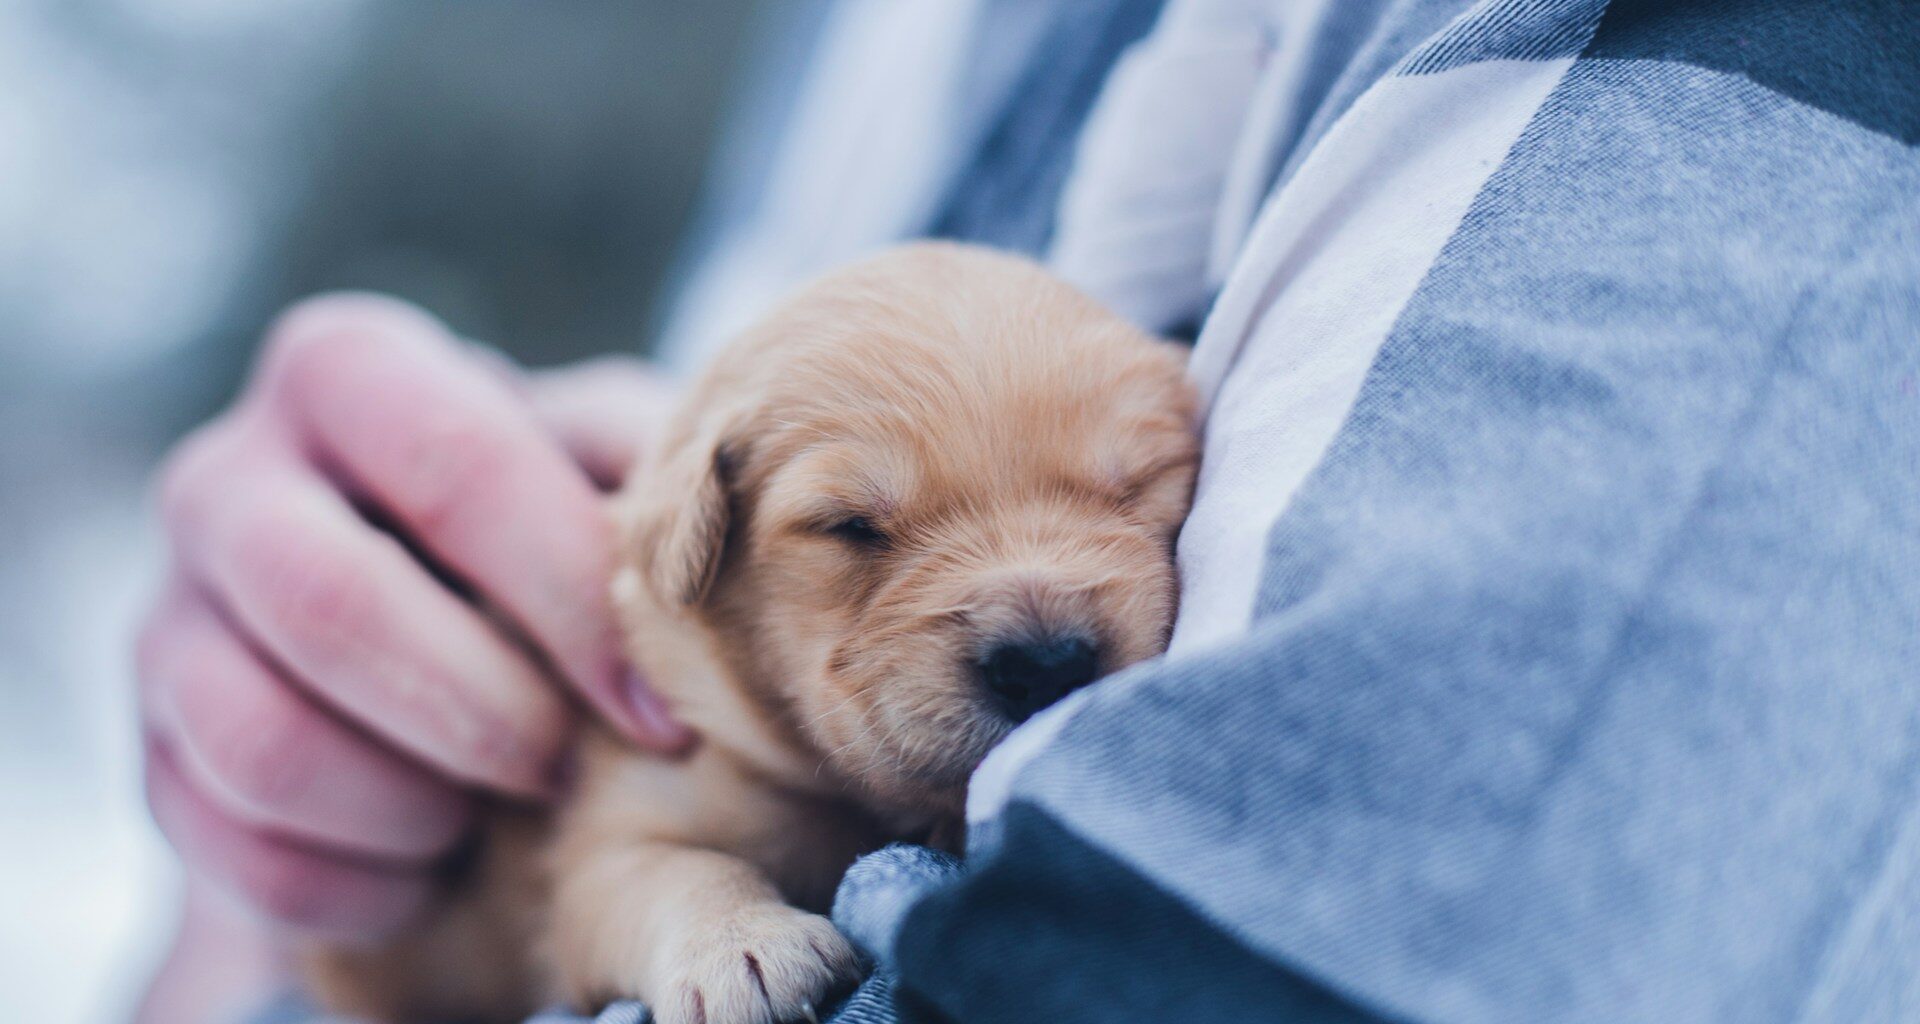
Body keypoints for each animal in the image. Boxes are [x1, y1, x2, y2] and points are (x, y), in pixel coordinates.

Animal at [305, 241, 1190, 1022]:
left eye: (1138, 483)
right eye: (850, 526)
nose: (1045, 664)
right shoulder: (601, 839)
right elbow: (668, 870)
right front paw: (740, 948)